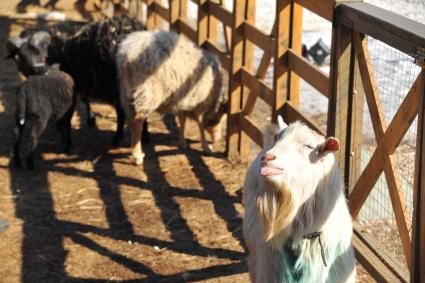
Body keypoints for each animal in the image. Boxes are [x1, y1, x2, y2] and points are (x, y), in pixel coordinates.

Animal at [114, 30, 224, 165]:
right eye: (219, 120)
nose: (217, 139)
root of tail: (127, 54)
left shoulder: (183, 99)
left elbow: (182, 120)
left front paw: (182, 143)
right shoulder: (200, 103)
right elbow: (200, 124)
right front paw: (206, 147)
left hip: (127, 89)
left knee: (130, 116)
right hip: (148, 92)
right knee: (137, 121)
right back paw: (137, 155)